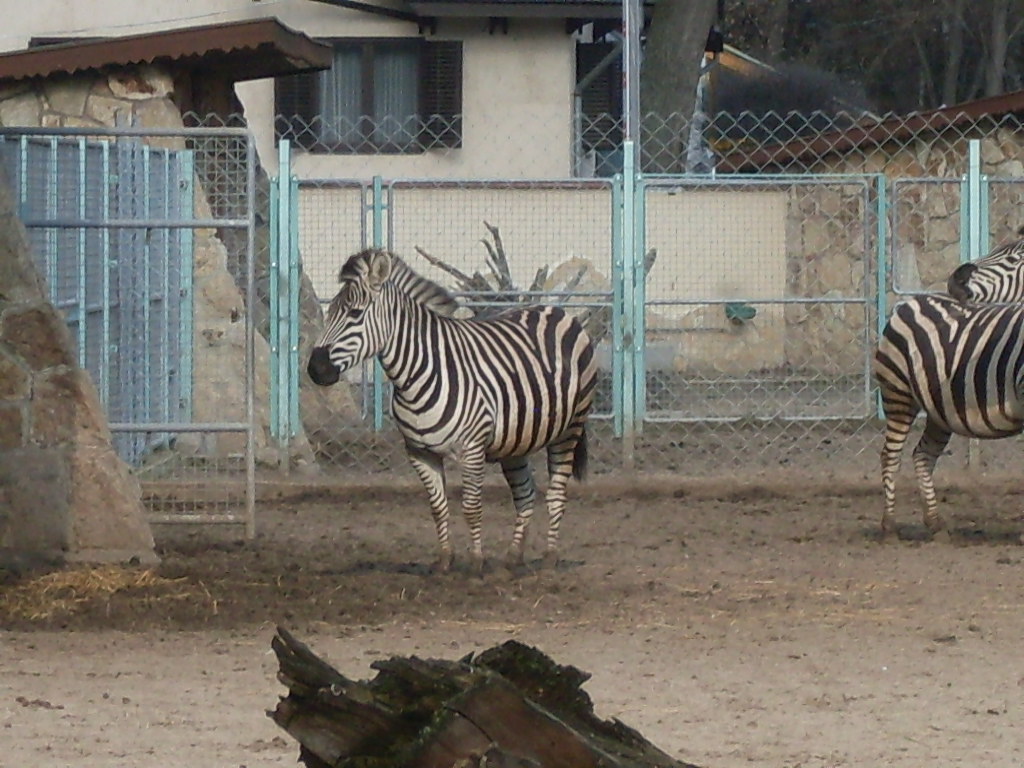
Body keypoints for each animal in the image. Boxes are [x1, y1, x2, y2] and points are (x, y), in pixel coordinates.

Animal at [307, 248, 597, 573]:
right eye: (330, 312)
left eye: (355, 314)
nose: (315, 369)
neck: (417, 374)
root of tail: (554, 311)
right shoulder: (419, 452)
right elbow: (438, 506)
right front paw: (445, 561)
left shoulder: (471, 448)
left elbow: (471, 507)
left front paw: (475, 563)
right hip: (515, 441)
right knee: (525, 493)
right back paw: (513, 557)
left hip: (569, 429)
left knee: (557, 492)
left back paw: (549, 558)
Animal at [873, 292, 1024, 537]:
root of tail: (910, 302)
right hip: (898, 394)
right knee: (890, 455)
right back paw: (889, 525)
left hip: (939, 411)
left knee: (923, 454)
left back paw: (934, 523)